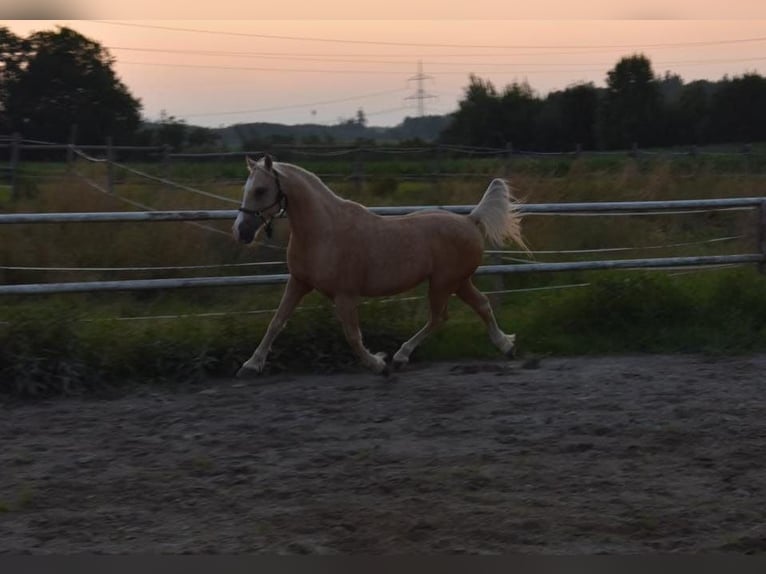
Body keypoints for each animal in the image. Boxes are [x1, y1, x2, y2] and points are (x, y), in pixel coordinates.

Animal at [233, 154, 526, 376]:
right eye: (246, 189)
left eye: (260, 190)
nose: (241, 231)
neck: (323, 231)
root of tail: (470, 219)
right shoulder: (299, 282)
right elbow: (276, 322)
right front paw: (250, 365)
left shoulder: (345, 295)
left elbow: (352, 335)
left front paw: (378, 364)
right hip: (458, 282)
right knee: (481, 304)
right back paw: (506, 346)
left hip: (443, 283)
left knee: (439, 317)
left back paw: (400, 356)